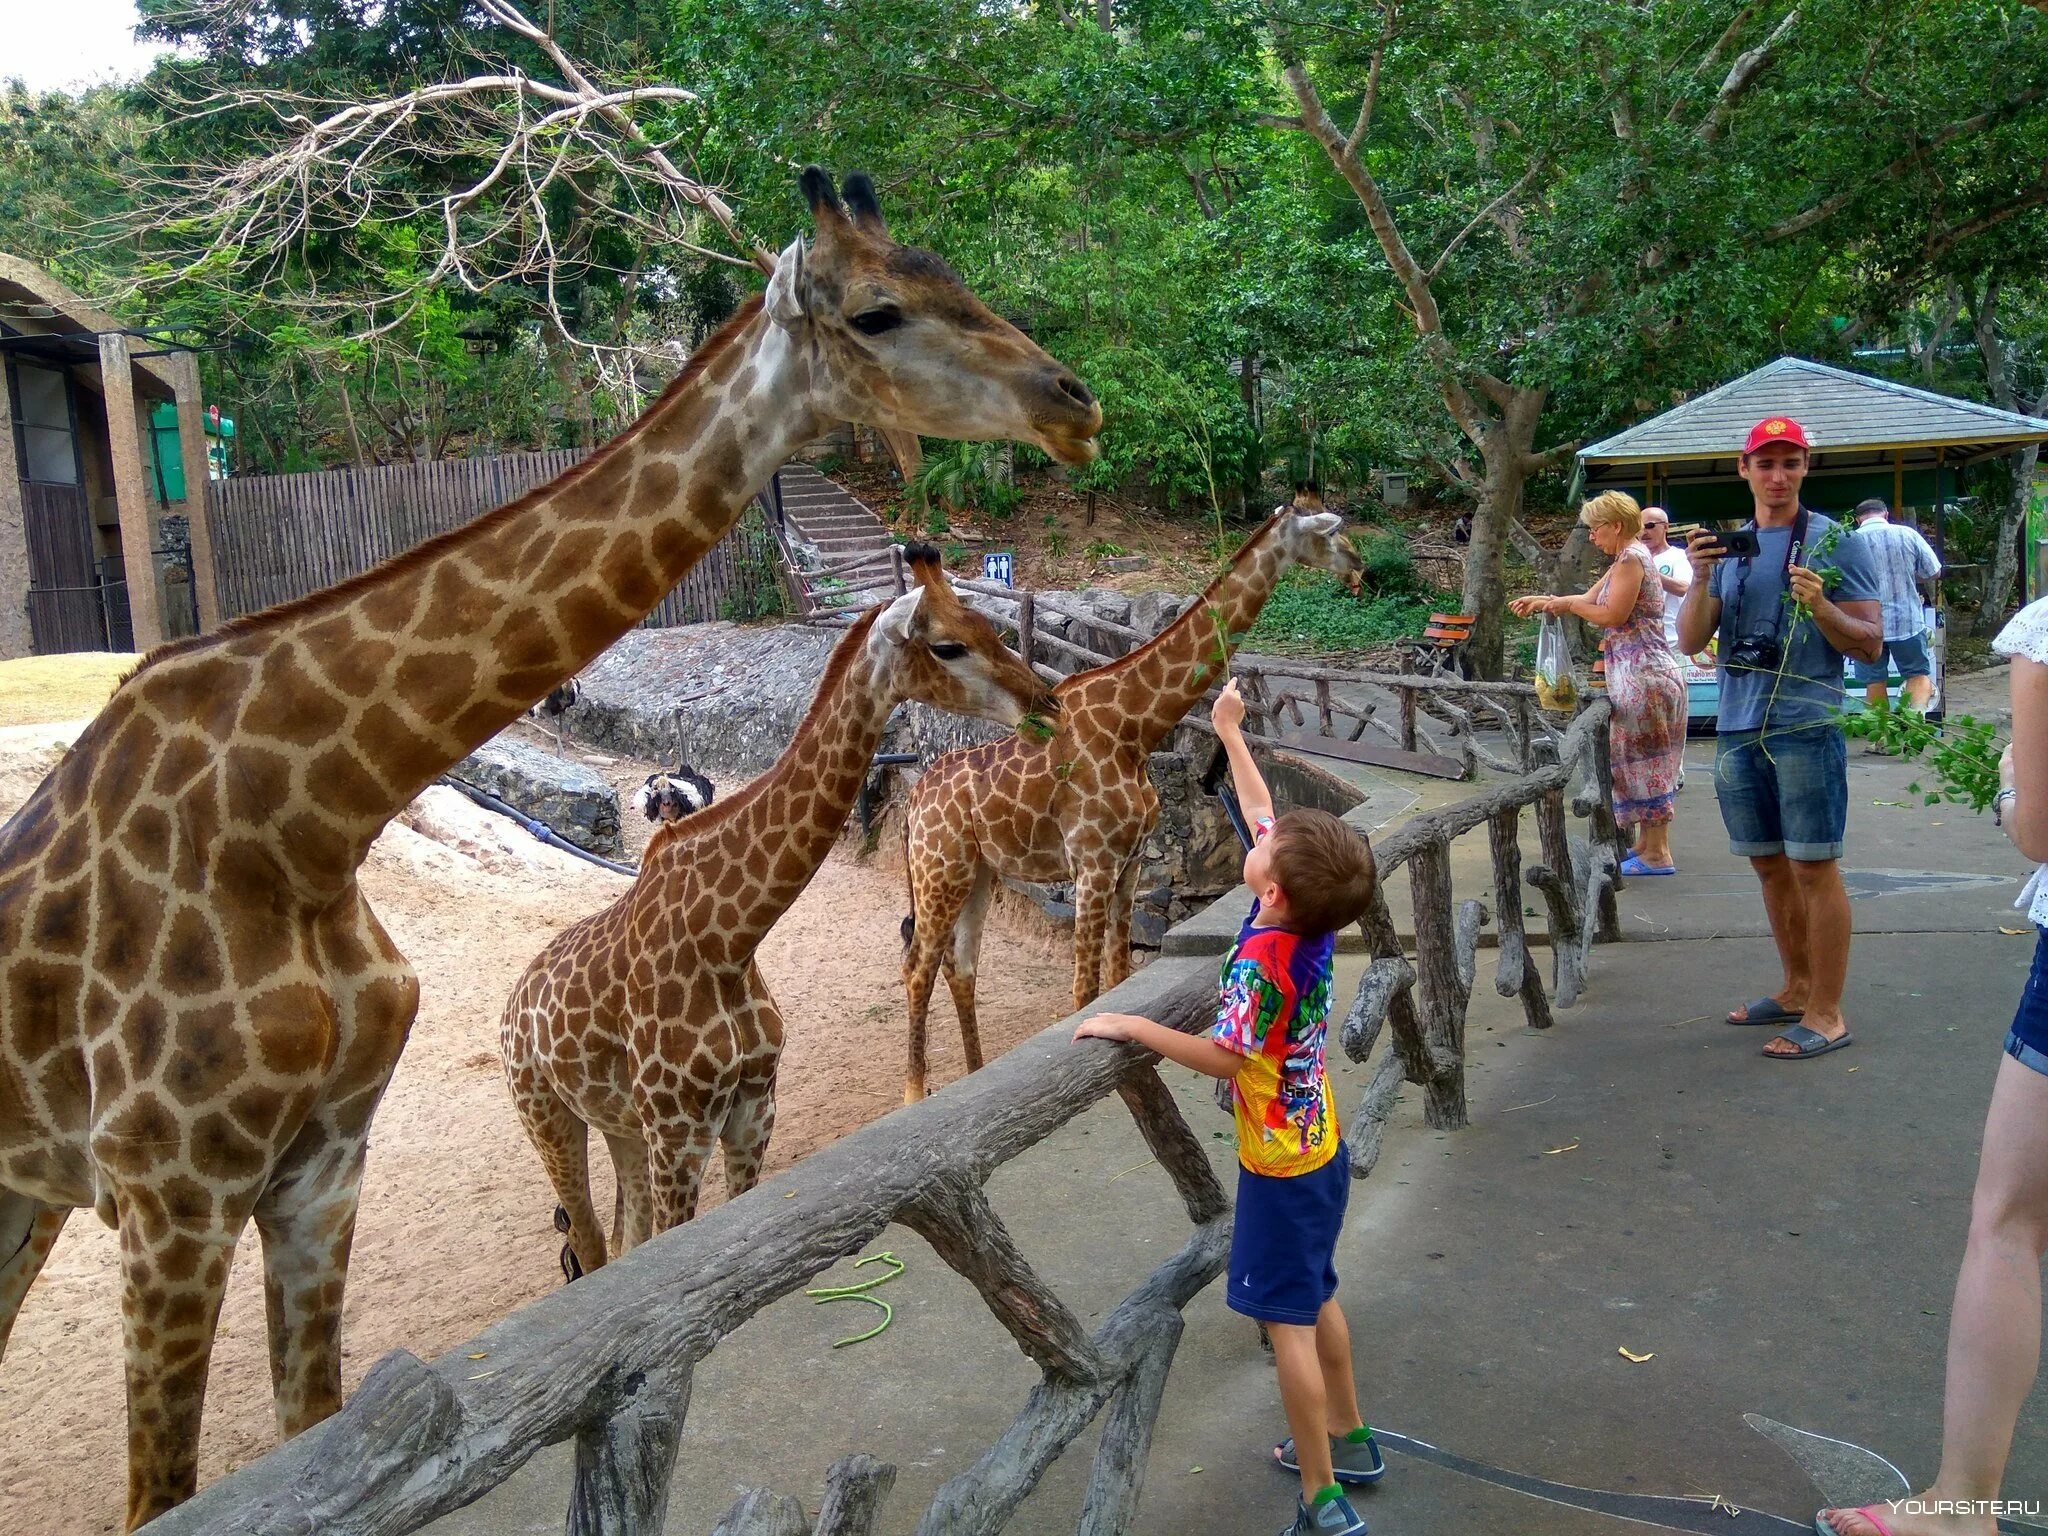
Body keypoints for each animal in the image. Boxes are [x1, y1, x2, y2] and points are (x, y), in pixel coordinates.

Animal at [499, 548, 1056, 1277]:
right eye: (948, 645)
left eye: (989, 627)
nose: (1046, 702)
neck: (729, 940)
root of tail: (512, 1009)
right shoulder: (680, 1130)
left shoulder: (752, 1110)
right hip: (546, 1113)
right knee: (590, 1246)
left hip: (621, 1126)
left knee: (624, 1238)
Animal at [897, 512, 1359, 1097]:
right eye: (1329, 531)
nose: (1360, 568)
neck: (1135, 728)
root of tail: (914, 801)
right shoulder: (1093, 865)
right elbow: (1084, 993)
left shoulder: (1130, 864)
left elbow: (1118, 980)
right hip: (939, 871)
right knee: (918, 967)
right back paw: (915, 1093)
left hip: (976, 873)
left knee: (961, 966)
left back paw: (977, 1075)